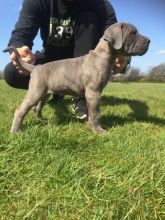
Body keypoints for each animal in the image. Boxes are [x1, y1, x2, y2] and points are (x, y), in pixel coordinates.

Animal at [4, 22, 150, 134]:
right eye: (133, 33)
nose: (149, 40)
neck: (102, 56)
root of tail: (36, 68)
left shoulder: (91, 95)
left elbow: (91, 113)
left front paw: (90, 126)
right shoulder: (93, 93)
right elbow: (96, 114)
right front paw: (99, 131)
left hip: (44, 93)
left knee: (37, 107)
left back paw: (41, 120)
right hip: (35, 91)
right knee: (20, 110)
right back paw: (15, 132)